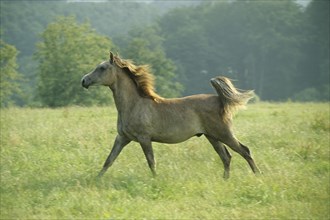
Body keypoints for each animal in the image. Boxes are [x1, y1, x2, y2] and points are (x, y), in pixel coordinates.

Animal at [81, 52, 260, 179]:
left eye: (102, 68)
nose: (84, 81)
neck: (134, 105)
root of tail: (220, 100)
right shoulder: (122, 138)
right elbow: (109, 160)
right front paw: (96, 179)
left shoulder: (144, 138)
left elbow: (151, 162)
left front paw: (155, 179)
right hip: (212, 137)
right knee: (226, 157)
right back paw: (225, 179)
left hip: (224, 134)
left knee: (244, 150)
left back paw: (258, 175)